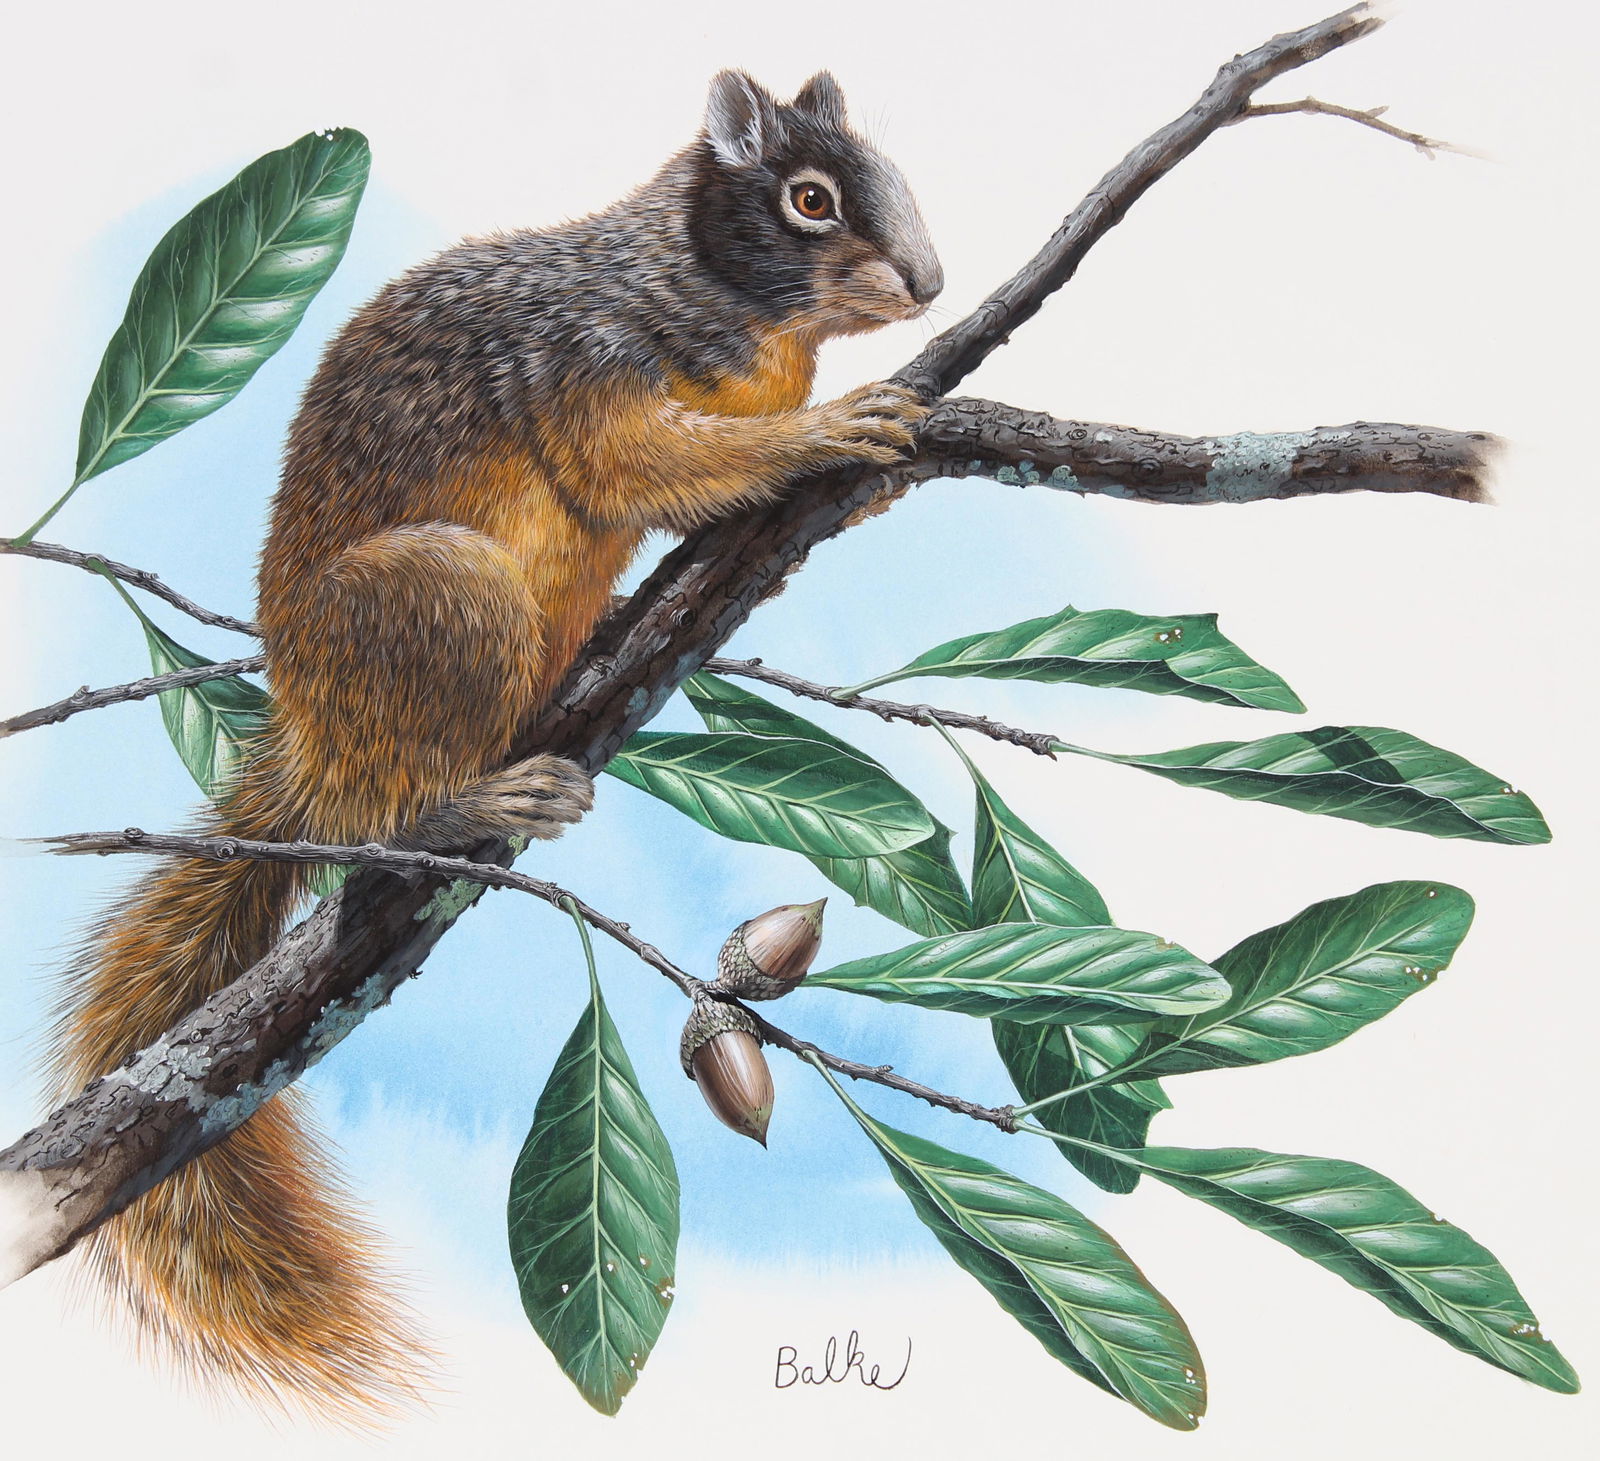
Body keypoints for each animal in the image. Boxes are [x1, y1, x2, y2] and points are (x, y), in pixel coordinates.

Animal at [51, 70, 941, 1421]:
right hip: (441, 606)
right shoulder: (582, 359)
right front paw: (839, 428)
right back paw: (476, 801)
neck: (720, 300)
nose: (931, 284)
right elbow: (643, 459)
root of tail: (314, 739)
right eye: (808, 200)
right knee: (374, 821)